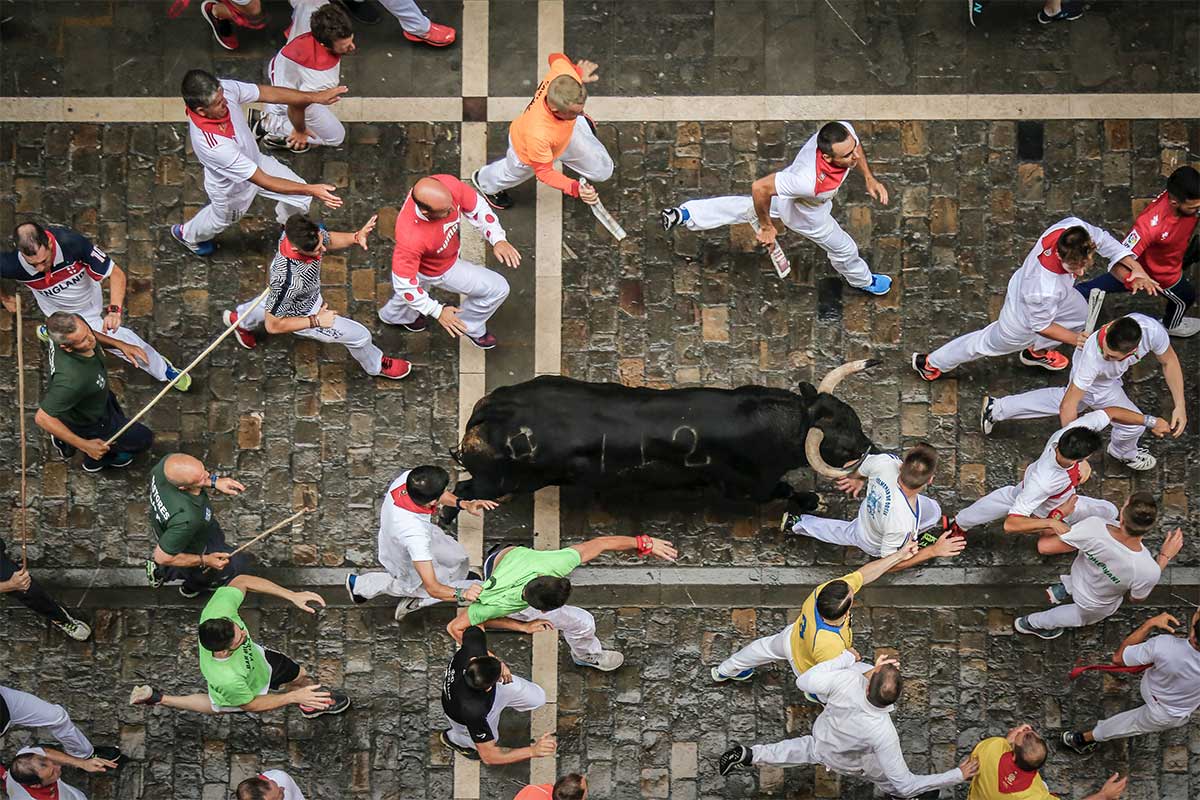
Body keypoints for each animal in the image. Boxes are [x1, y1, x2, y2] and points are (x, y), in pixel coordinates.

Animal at [453, 362, 878, 510]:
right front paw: (811, 500)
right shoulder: (747, 488)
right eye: (843, 442)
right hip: (499, 482)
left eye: (853, 417)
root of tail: (490, 410)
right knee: (462, 492)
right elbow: (784, 491)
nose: (872, 448)